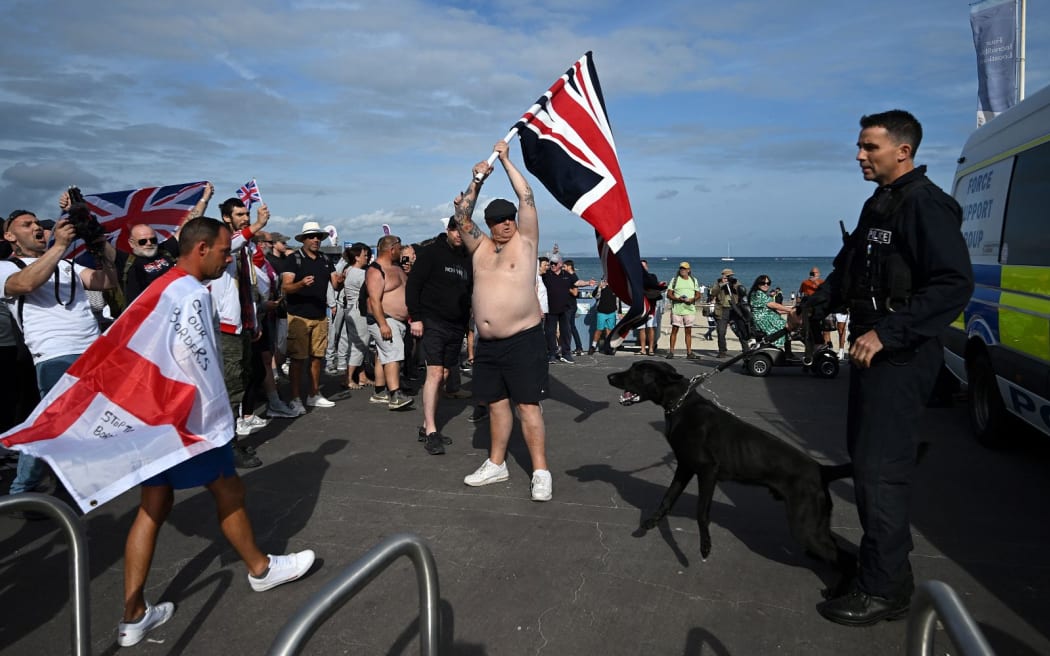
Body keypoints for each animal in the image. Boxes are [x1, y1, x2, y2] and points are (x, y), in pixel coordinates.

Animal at [609, 361, 852, 591]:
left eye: (639, 371)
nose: (609, 377)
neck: (680, 405)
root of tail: (821, 469)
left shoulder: (707, 471)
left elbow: (701, 512)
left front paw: (705, 546)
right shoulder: (685, 467)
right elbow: (667, 498)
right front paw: (650, 523)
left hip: (805, 528)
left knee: (847, 558)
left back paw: (837, 594)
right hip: (815, 525)